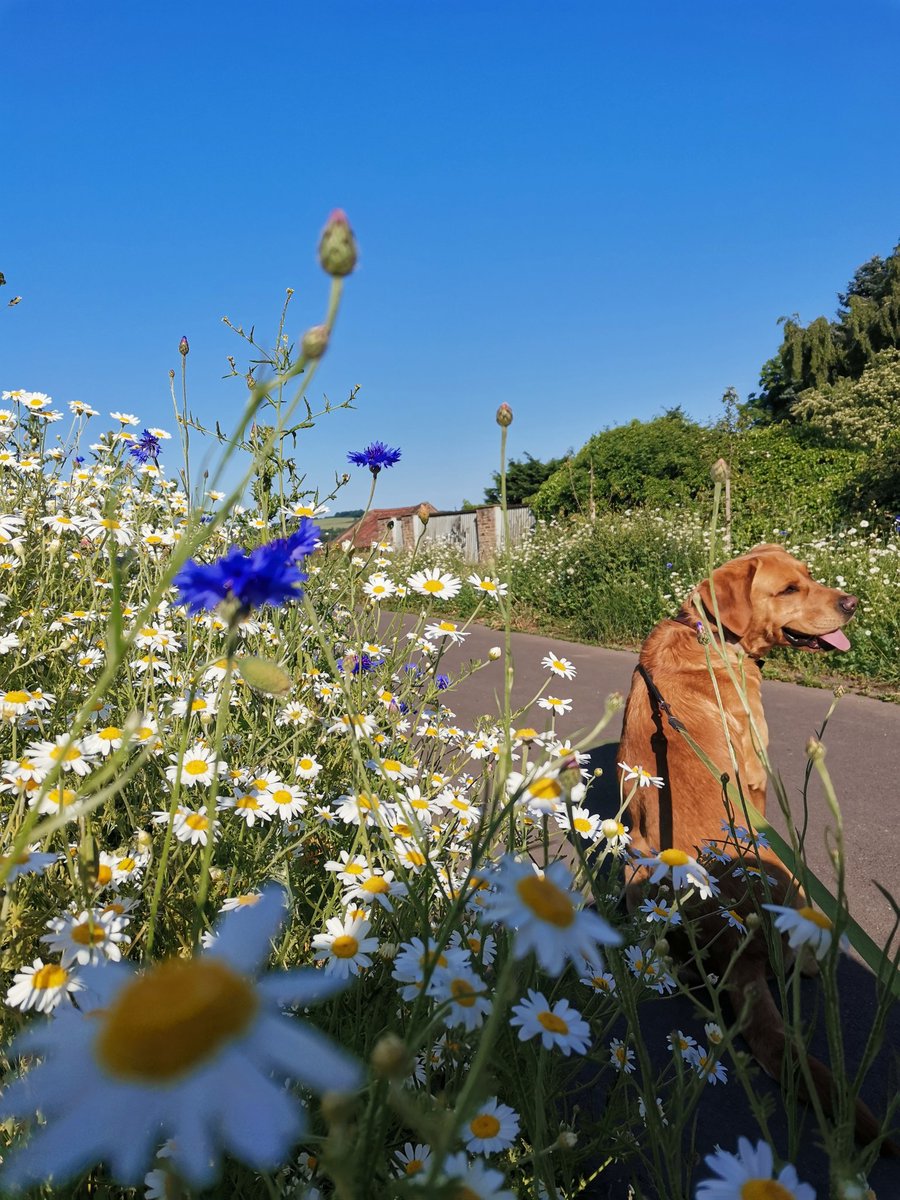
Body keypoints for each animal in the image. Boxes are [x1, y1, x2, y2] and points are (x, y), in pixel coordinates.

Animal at [619, 542, 897, 1142]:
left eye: (809, 577)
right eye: (789, 589)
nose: (851, 602)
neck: (708, 635)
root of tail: (734, 943)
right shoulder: (755, 781)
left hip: (635, 867)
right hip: (791, 883)